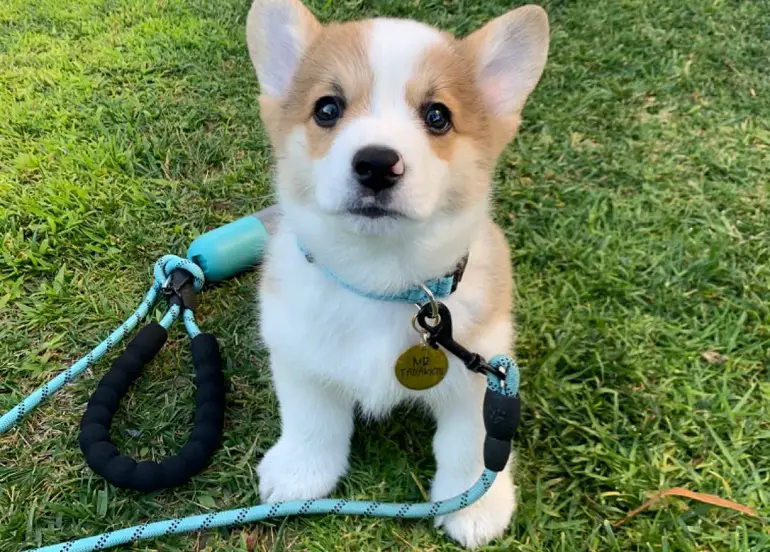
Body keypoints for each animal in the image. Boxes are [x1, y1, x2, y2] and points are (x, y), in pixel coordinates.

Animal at [246, 2, 544, 548]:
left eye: (437, 116)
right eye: (327, 109)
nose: (377, 164)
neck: (380, 280)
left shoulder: (482, 378)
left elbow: (469, 444)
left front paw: (477, 505)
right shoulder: (297, 353)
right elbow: (311, 419)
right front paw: (301, 471)